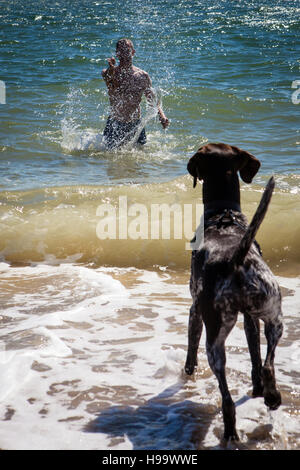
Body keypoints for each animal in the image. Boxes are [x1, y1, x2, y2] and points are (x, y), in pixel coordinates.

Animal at [185, 142, 284, 440]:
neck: (223, 215)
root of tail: (234, 259)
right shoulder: (251, 317)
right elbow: (255, 354)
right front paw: (258, 388)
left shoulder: (195, 308)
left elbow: (190, 345)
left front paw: (188, 370)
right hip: (275, 317)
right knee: (267, 364)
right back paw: (271, 396)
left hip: (214, 337)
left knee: (226, 396)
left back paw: (230, 429)